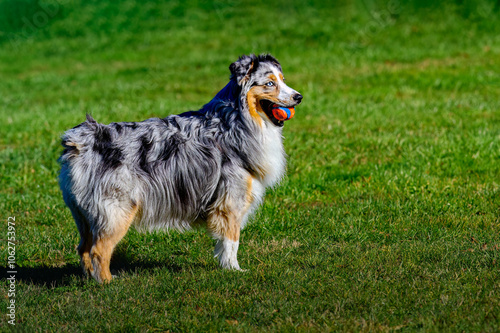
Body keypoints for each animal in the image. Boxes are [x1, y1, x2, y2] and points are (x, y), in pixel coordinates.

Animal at [58, 53, 300, 282]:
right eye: (269, 83)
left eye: (283, 80)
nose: (299, 97)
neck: (235, 121)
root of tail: (82, 140)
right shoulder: (231, 201)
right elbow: (232, 241)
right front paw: (234, 271)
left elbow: (224, 244)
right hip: (116, 211)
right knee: (98, 250)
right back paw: (108, 282)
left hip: (85, 215)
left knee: (83, 249)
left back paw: (90, 280)